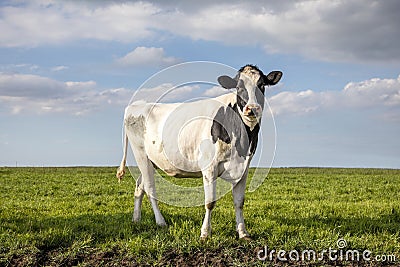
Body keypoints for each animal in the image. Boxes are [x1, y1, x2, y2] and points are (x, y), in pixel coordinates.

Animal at [117, 65, 282, 241]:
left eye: (262, 85)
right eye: (239, 87)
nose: (252, 109)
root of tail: (136, 105)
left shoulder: (244, 168)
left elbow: (239, 201)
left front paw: (243, 233)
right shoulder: (209, 167)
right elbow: (210, 202)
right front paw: (205, 233)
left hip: (152, 161)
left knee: (139, 186)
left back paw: (136, 219)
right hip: (141, 154)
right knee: (149, 188)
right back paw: (160, 222)